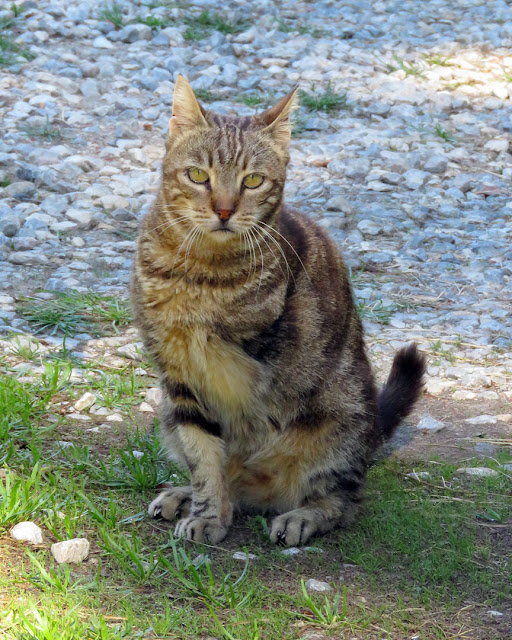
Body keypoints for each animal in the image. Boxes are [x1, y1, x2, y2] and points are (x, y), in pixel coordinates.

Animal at [131, 75, 425, 546]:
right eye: (198, 175)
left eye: (253, 180)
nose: (224, 210)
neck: (198, 271)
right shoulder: (177, 376)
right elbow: (204, 455)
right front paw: (208, 511)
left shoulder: (239, 357)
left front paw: (209, 516)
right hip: (168, 415)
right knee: (234, 480)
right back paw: (185, 494)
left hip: (338, 424)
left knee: (344, 499)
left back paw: (302, 516)